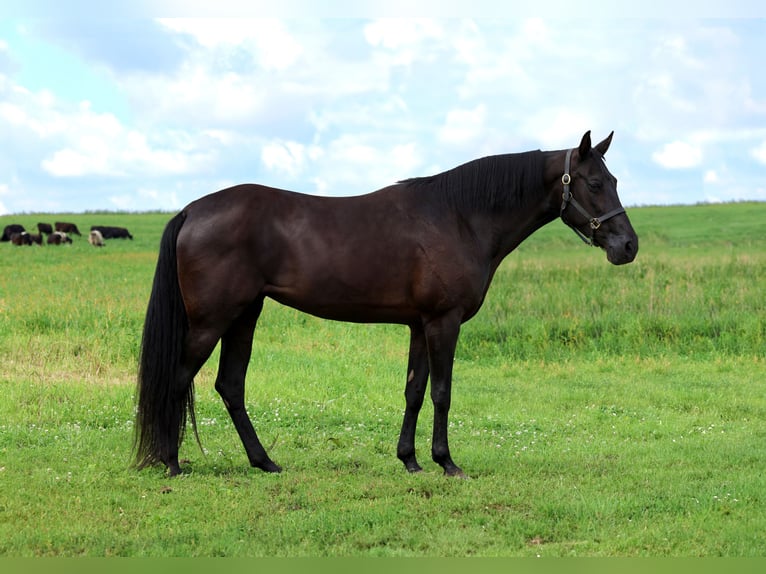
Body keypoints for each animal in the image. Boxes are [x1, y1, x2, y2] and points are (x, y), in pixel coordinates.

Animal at [134, 130, 638, 478]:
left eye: (614, 179)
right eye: (595, 182)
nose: (628, 246)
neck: (458, 217)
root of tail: (192, 211)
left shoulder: (419, 324)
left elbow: (414, 390)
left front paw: (410, 461)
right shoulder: (443, 322)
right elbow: (442, 392)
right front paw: (447, 463)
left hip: (244, 315)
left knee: (230, 386)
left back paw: (265, 462)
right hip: (210, 322)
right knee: (178, 379)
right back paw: (173, 463)